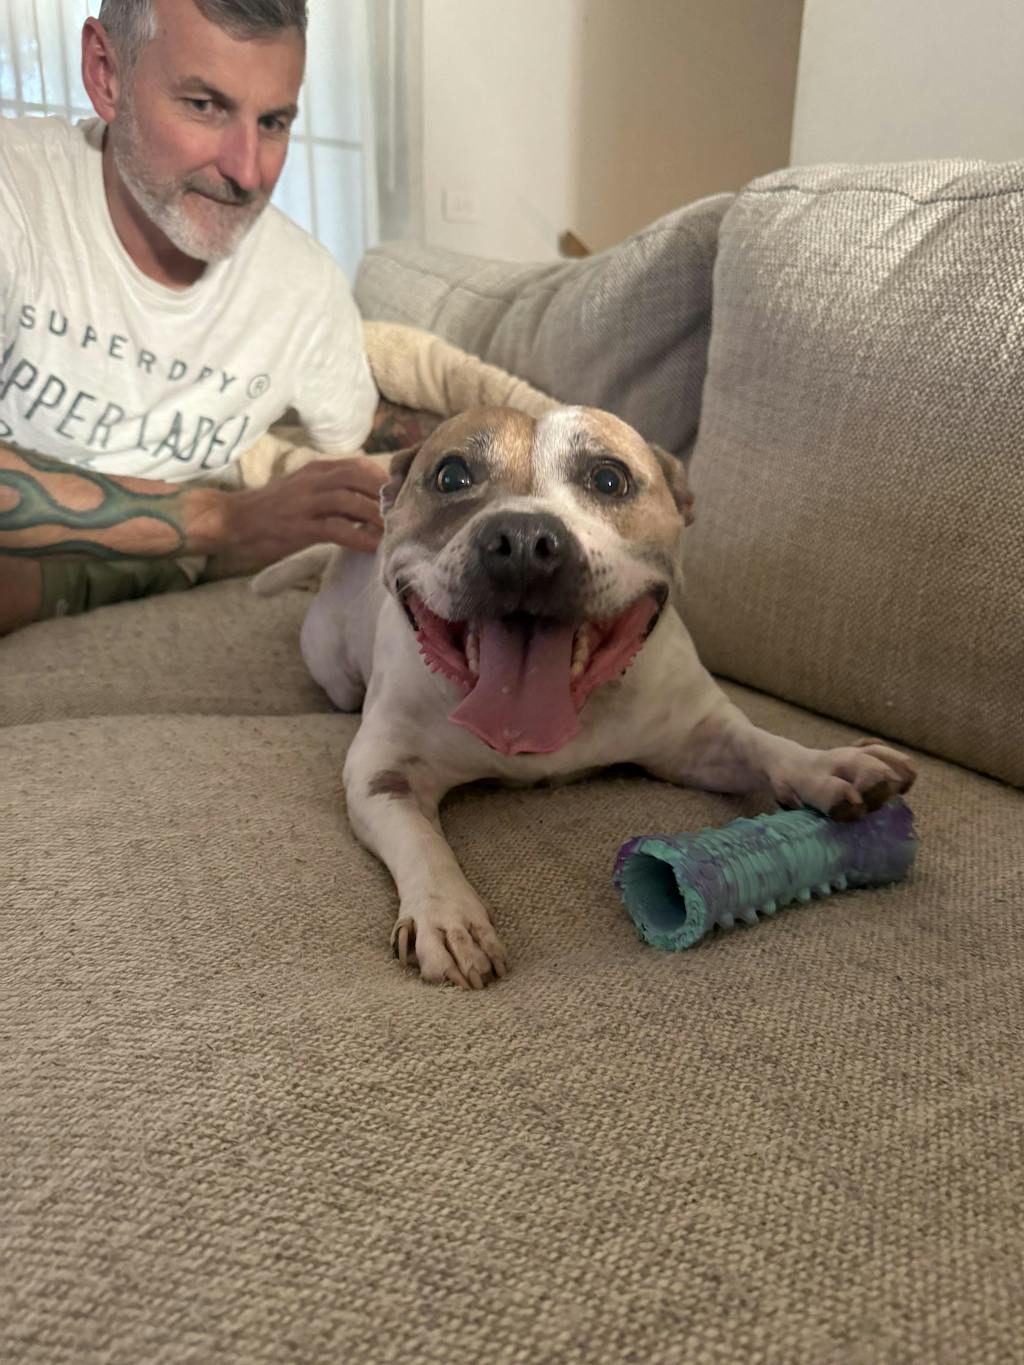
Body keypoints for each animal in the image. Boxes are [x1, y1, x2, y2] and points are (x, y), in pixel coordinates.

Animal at [254, 405, 916, 989]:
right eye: (450, 476)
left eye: (609, 478)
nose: (522, 539)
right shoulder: (384, 773)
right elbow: (421, 841)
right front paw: (447, 917)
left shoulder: (698, 739)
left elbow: (764, 744)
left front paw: (828, 765)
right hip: (335, 670)